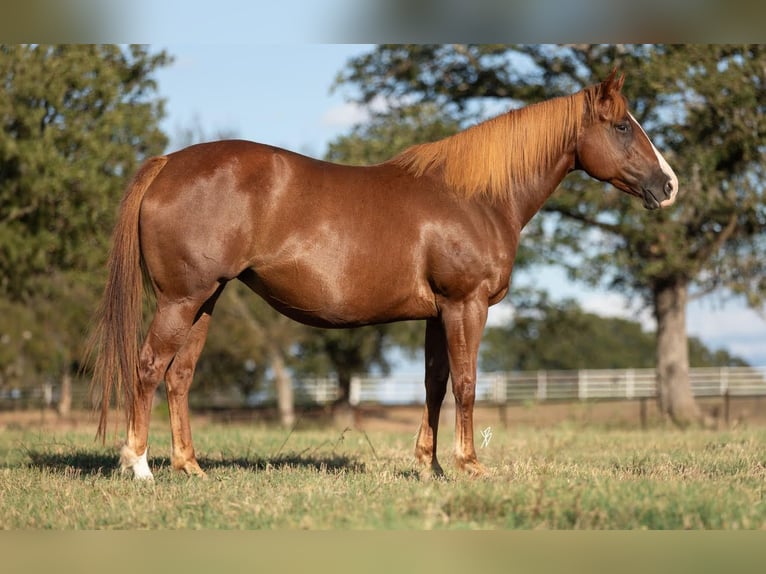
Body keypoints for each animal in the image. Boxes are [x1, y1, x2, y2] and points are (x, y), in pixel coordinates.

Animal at [87, 71, 680, 482]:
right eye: (623, 126)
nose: (668, 185)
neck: (474, 196)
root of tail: (168, 163)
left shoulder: (438, 314)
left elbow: (436, 384)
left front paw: (429, 465)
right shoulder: (466, 304)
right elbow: (466, 384)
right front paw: (469, 466)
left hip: (205, 300)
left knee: (179, 376)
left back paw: (189, 466)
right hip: (180, 300)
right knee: (147, 367)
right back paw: (138, 465)